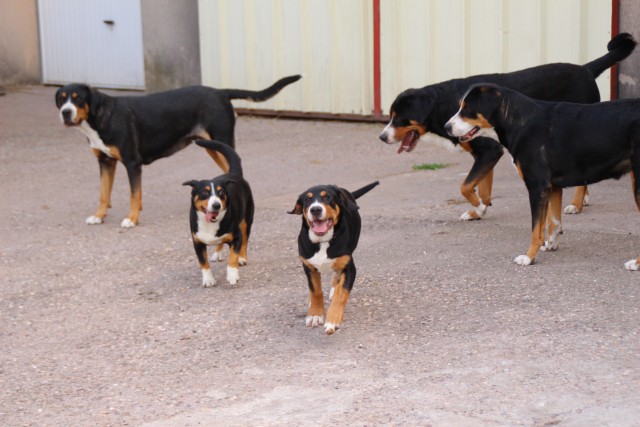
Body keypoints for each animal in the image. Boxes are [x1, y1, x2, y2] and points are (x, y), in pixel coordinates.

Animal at [56, 75, 302, 229]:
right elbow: (103, 193)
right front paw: (98, 216)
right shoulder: (105, 162)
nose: (66, 113)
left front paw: (132, 219)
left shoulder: (132, 162)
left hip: (221, 139)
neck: (101, 118)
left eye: (78, 98)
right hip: (211, 146)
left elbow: (134, 194)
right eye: (61, 99)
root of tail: (220, 92)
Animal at [181, 140, 254, 288]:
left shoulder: (236, 236)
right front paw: (208, 279)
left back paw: (242, 258)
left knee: (245, 240)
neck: (210, 225)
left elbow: (233, 256)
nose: (216, 205)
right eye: (205, 193)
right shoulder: (197, 242)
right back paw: (217, 254)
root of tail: (233, 173)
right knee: (221, 242)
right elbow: (203, 262)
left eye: (221, 193)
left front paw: (232, 275)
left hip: (246, 221)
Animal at [290, 181, 380, 334]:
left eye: (328, 197)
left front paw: (332, 320)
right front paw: (315, 314)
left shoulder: (349, 268)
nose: (315, 209)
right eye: (307, 199)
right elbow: (315, 291)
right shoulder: (309, 267)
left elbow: (341, 293)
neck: (323, 241)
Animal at [380, 32, 636, 222]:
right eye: (391, 116)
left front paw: (479, 208)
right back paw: (583, 199)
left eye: (398, 118)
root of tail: (586, 69)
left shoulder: (489, 150)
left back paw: (576, 204)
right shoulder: (486, 154)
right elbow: (482, 186)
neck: (446, 104)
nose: (382, 137)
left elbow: (465, 186)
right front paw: (479, 210)